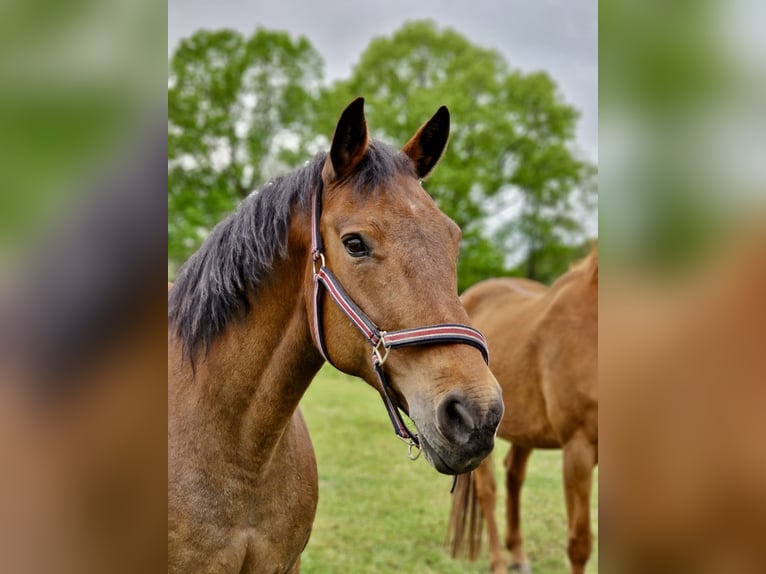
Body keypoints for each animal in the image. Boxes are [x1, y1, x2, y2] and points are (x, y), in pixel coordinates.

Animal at [450, 251, 600, 574]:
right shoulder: (578, 450)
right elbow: (580, 544)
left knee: (513, 477)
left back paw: (517, 554)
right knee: (488, 492)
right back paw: (498, 562)